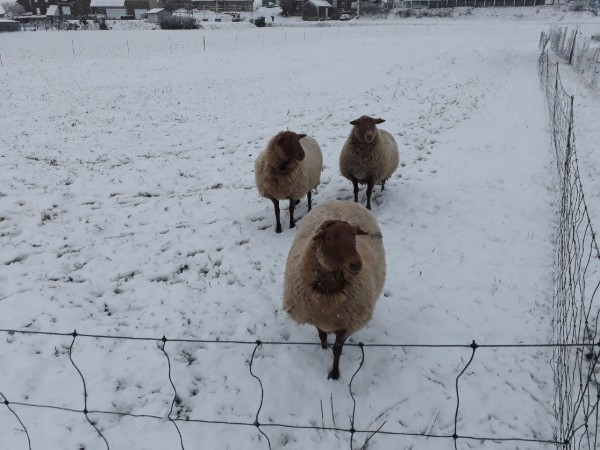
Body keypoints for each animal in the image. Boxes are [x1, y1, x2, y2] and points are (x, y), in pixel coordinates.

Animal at [280, 200, 384, 380]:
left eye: (354, 236)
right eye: (329, 237)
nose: (356, 264)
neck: (328, 293)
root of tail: (341, 201)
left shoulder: (346, 324)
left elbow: (337, 350)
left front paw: (335, 374)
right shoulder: (316, 316)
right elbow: (322, 335)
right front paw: (323, 348)